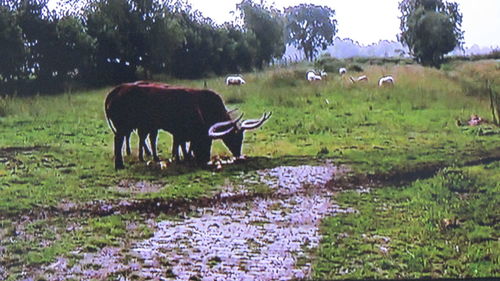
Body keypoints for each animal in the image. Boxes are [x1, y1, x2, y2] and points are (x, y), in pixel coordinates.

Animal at [103, 81, 272, 168]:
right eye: (234, 138)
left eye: (241, 139)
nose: (238, 154)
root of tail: (116, 91)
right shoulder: (179, 131)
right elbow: (181, 144)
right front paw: (183, 158)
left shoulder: (179, 132)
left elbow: (182, 144)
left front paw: (184, 157)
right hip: (124, 126)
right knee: (119, 140)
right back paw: (120, 164)